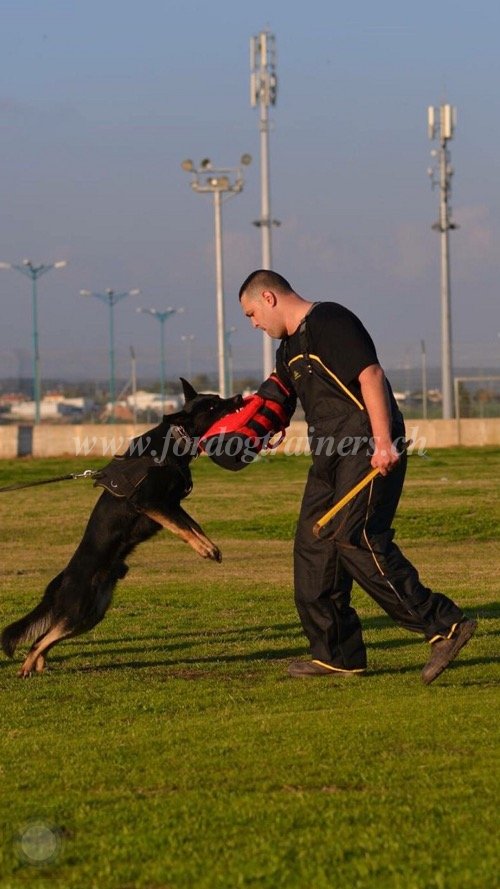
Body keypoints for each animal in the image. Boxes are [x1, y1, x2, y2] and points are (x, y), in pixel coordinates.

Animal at [0, 378, 242, 676]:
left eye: (218, 398)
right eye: (212, 406)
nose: (239, 397)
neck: (174, 442)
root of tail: (62, 578)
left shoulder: (172, 504)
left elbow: (193, 526)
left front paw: (210, 547)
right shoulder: (150, 502)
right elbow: (183, 529)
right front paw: (205, 550)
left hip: (92, 614)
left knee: (45, 638)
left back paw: (39, 665)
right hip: (79, 609)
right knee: (40, 639)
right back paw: (26, 667)